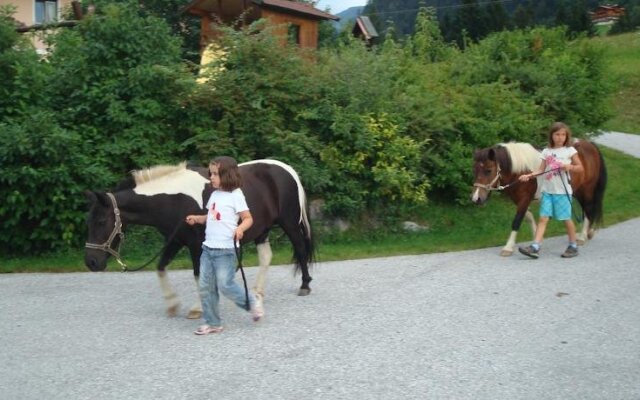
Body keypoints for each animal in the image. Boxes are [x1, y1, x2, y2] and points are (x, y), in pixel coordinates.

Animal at [85, 159, 316, 318]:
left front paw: (197, 308)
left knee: (300, 248)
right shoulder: (176, 241)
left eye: (101, 221)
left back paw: (304, 286)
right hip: (261, 229)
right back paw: (257, 292)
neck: (173, 200)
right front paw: (172, 304)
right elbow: (160, 268)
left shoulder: (196, 245)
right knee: (266, 257)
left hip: (289, 223)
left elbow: (199, 275)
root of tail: (287, 170)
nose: (91, 262)